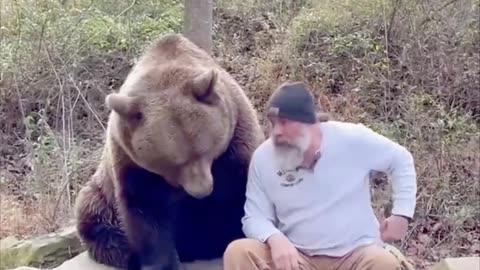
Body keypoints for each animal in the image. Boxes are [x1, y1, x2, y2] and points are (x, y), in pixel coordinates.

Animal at [73, 32, 264, 270]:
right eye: (174, 163)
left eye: (206, 151)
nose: (202, 191)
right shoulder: (131, 160)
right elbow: (146, 209)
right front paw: (162, 262)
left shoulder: (235, 138)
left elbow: (239, 190)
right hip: (101, 195)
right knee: (95, 215)